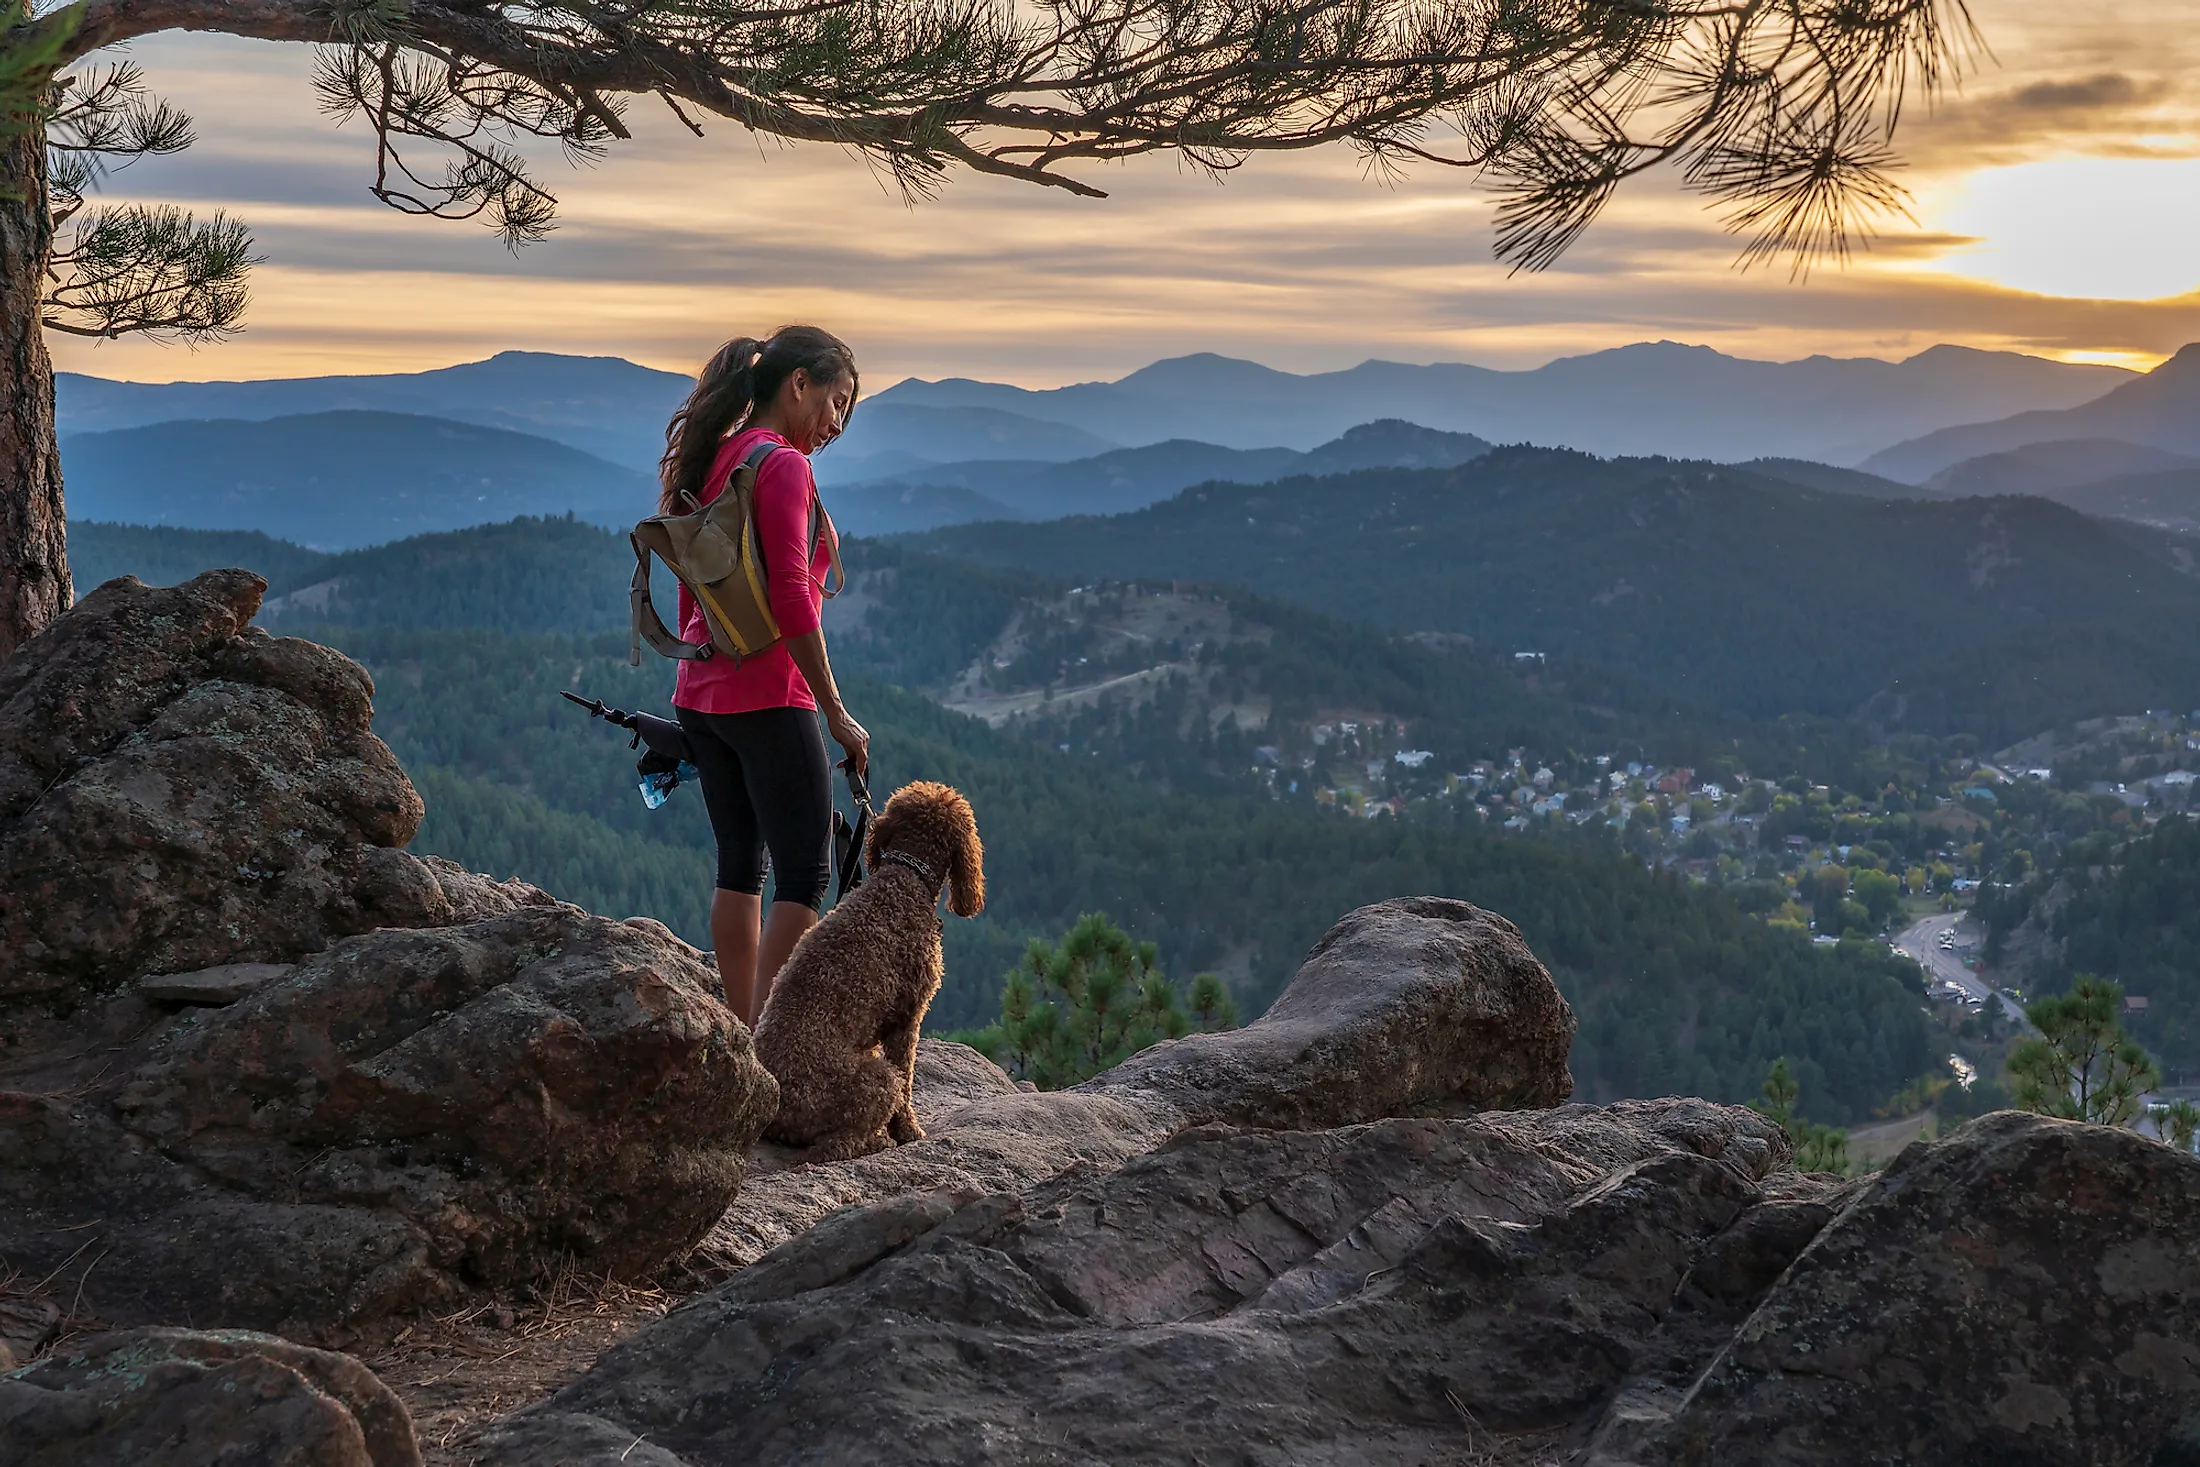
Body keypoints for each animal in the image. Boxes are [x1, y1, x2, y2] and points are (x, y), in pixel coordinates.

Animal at [752, 778, 985, 1170]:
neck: (904, 878)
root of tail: (776, 1110)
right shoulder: (907, 1019)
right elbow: (907, 1078)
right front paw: (909, 1130)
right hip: (874, 1079)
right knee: (837, 1145)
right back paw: (878, 1141)